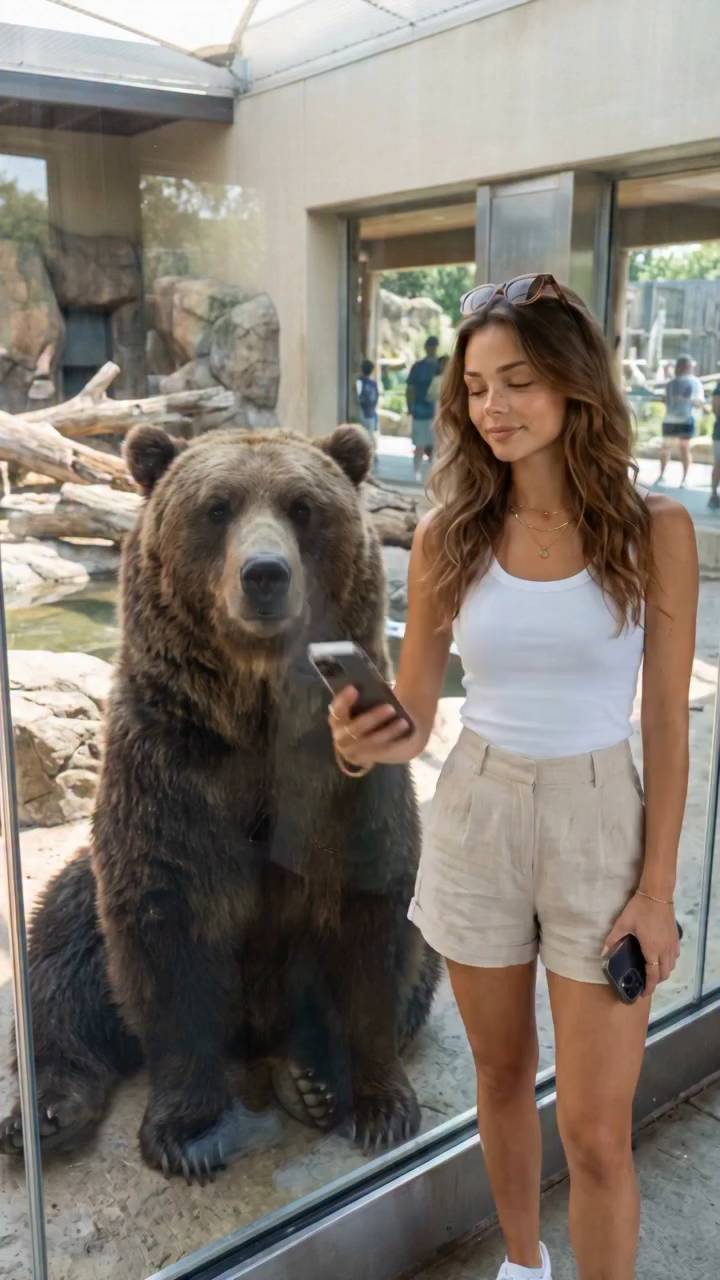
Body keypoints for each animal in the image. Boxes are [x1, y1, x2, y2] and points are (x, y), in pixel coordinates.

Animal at [0, 423, 440, 1181]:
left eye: (302, 506)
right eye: (216, 507)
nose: (264, 574)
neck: (254, 714)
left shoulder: (341, 790)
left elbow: (374, 938)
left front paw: (380, 1105)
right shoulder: (174, 772)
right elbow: (168, 932)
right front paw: (189, 1133)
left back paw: (308, 1082)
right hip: (87, 881)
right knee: (61, 962)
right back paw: (48, 1113)